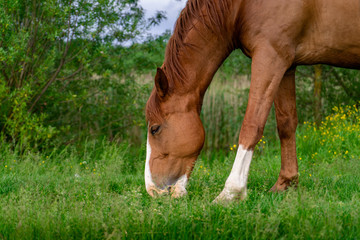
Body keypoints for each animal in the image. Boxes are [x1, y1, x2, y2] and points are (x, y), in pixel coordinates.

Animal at [144, 0, 360, 202]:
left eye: (155, 129)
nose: (152, 190)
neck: (241, 6)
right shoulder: (287, 65)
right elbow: (286, 124)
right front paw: (285, 184)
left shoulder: (270, 56)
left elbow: (252, 125)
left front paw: (230, 193)